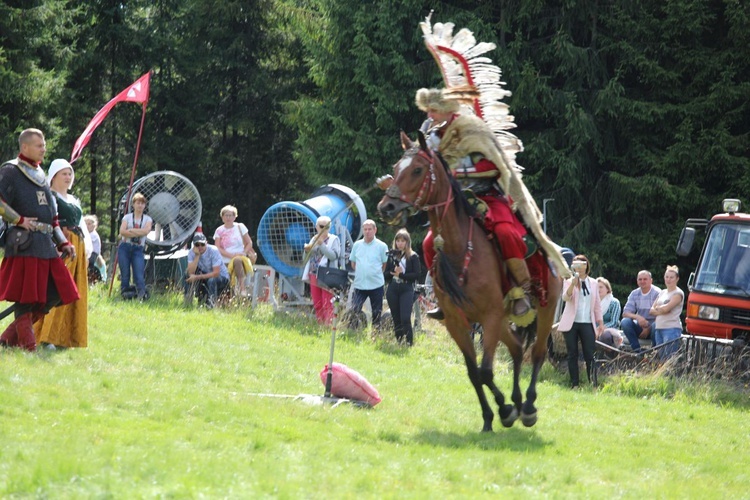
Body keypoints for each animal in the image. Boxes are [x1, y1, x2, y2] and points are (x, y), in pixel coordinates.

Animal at [376, 131, 564, 432]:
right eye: (395, 168)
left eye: (417, 170)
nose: (387, 207)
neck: (458, 247)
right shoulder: (457, 322)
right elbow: (474, 372)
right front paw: (492, 415)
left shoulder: (489, 316)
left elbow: (486, 371)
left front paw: (505, 411)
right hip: (502, 319)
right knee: (515, 348)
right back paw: (517, 400)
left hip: (546, 309)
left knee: (536, 353)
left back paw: (528, 407)